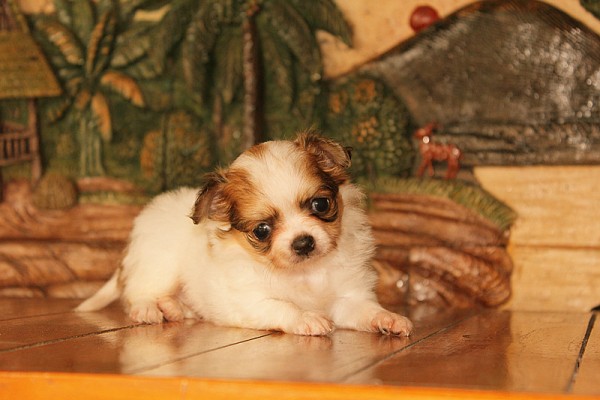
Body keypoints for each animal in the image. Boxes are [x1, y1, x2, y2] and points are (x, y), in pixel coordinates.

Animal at [76, 132, 413, 337]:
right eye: (262, 231)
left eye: (321, 204)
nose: (303, 242)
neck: (305, 275)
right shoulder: (250, 301)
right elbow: (283, 306)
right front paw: (306, 318)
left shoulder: (348, 298)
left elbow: (367, 310)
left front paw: (389, 318)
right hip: (160, 266)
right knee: (138, 292)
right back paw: (149, 309)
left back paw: (175, 308)